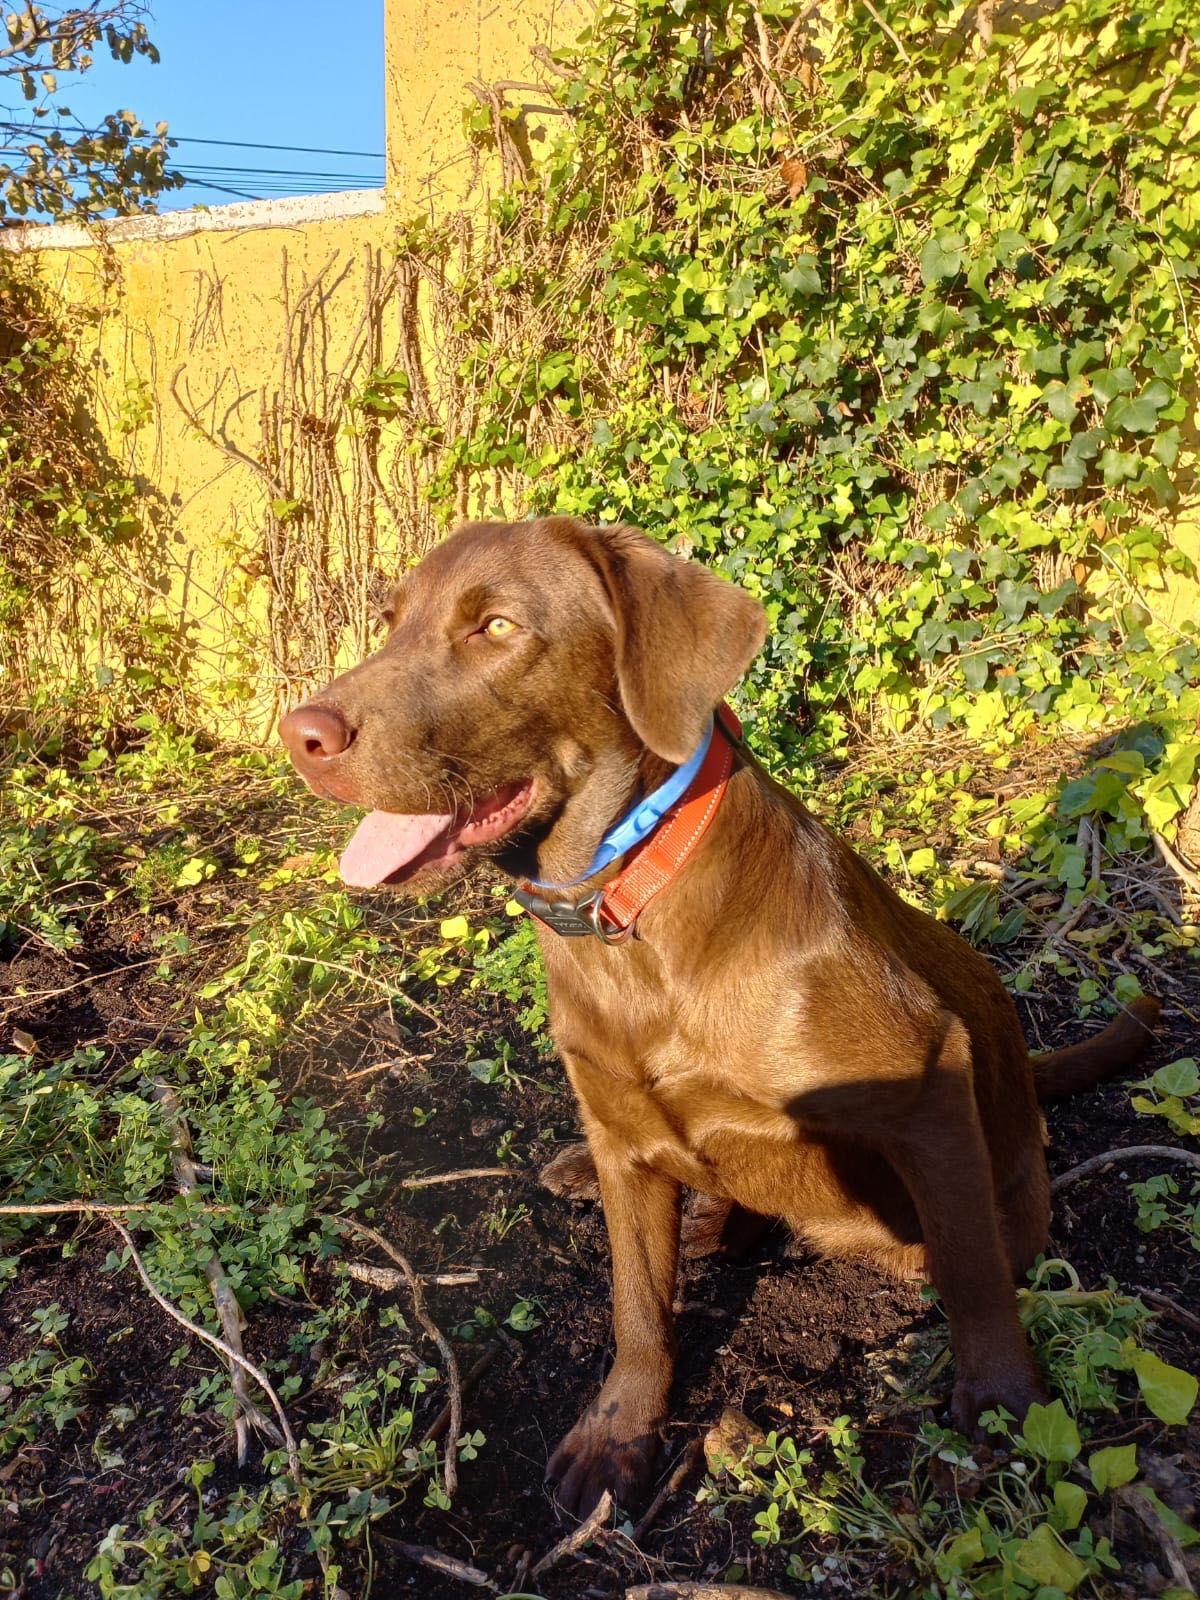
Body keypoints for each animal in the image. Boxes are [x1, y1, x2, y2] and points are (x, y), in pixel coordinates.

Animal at [276, 512, 1158, 1510]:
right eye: (391, 623)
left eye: (496, 627)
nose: (298, 734)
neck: (627, 907)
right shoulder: (622, 1135)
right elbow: (635, 1308)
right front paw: (620, 1430)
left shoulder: (929, 1089)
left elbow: (973, 1279)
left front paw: (1005, 1403)